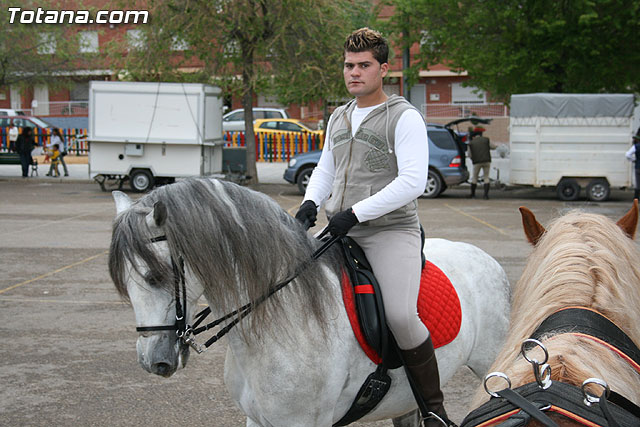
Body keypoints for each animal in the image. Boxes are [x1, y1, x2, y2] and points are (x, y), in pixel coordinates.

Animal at [110, 178, 510, 427]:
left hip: (491, 364)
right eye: (125, 284)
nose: (153, 361)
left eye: (154, 276)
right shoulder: (257, 420)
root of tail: (482, 255)